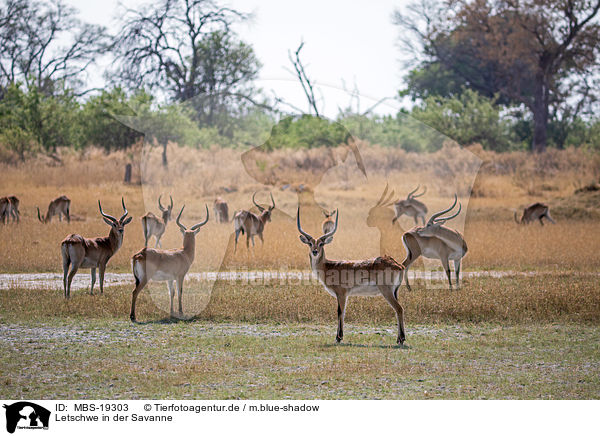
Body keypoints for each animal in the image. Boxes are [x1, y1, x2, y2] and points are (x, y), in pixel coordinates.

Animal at [296, 209, 408, 346]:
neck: (329, 266)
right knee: (398, 310)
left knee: (399, 309)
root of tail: (399, 265)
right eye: (310, 243)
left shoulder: (342, 293)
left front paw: (338, 337)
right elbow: (342, 312)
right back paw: (398, 338)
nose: (315, 251)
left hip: (387, 291)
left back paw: (401, 339)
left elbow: (340, 312)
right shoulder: (344, 295)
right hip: (395, 291)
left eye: (321, 243)